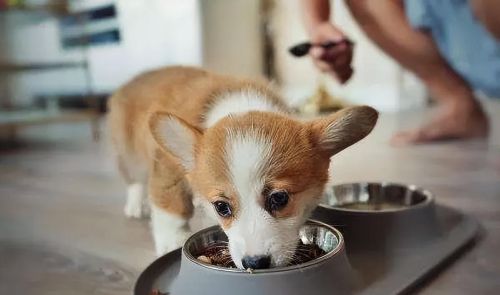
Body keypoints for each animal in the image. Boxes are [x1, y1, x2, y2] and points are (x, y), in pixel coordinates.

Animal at [108, 67, 376, 270]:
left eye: (280, 198)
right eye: (221, 207)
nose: (255, 263)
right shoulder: (168, 168)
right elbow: (171, 207)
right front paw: (172, 241)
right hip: (131, 154)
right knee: (133, 179)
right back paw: (135, 205)